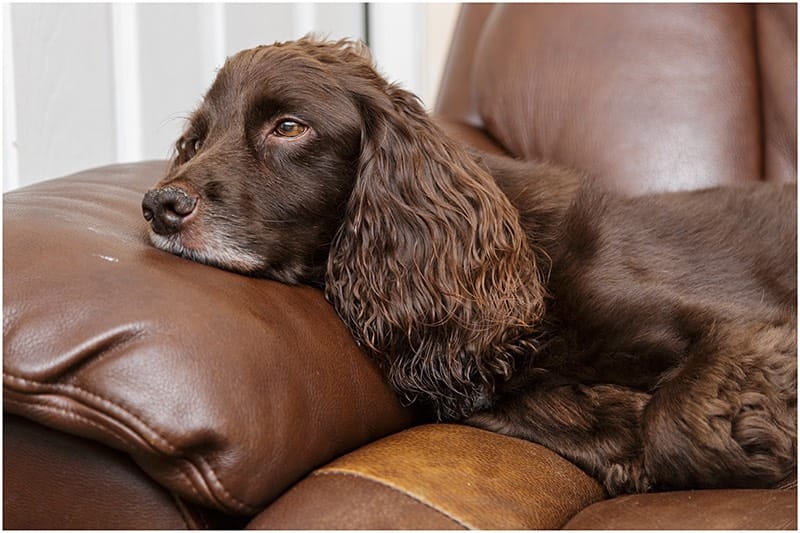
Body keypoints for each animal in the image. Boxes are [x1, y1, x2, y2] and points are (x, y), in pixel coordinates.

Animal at [142, 37, 792, 494]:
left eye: (288, 127)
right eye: (196, 139)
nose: (158, 205)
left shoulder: (750, 327)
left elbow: (675, 421)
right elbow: (532, 406)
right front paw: (621, 425)